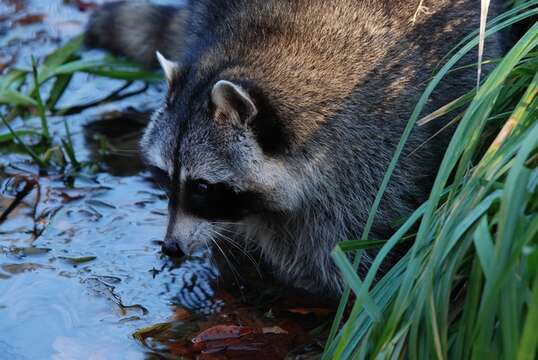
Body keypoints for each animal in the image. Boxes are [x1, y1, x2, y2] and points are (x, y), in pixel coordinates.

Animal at [86, 0, 504, 296]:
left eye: (202, 187)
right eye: (162, 176)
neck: (251, 55)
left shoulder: (376, 149)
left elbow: (352, 243)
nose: (171, 248)